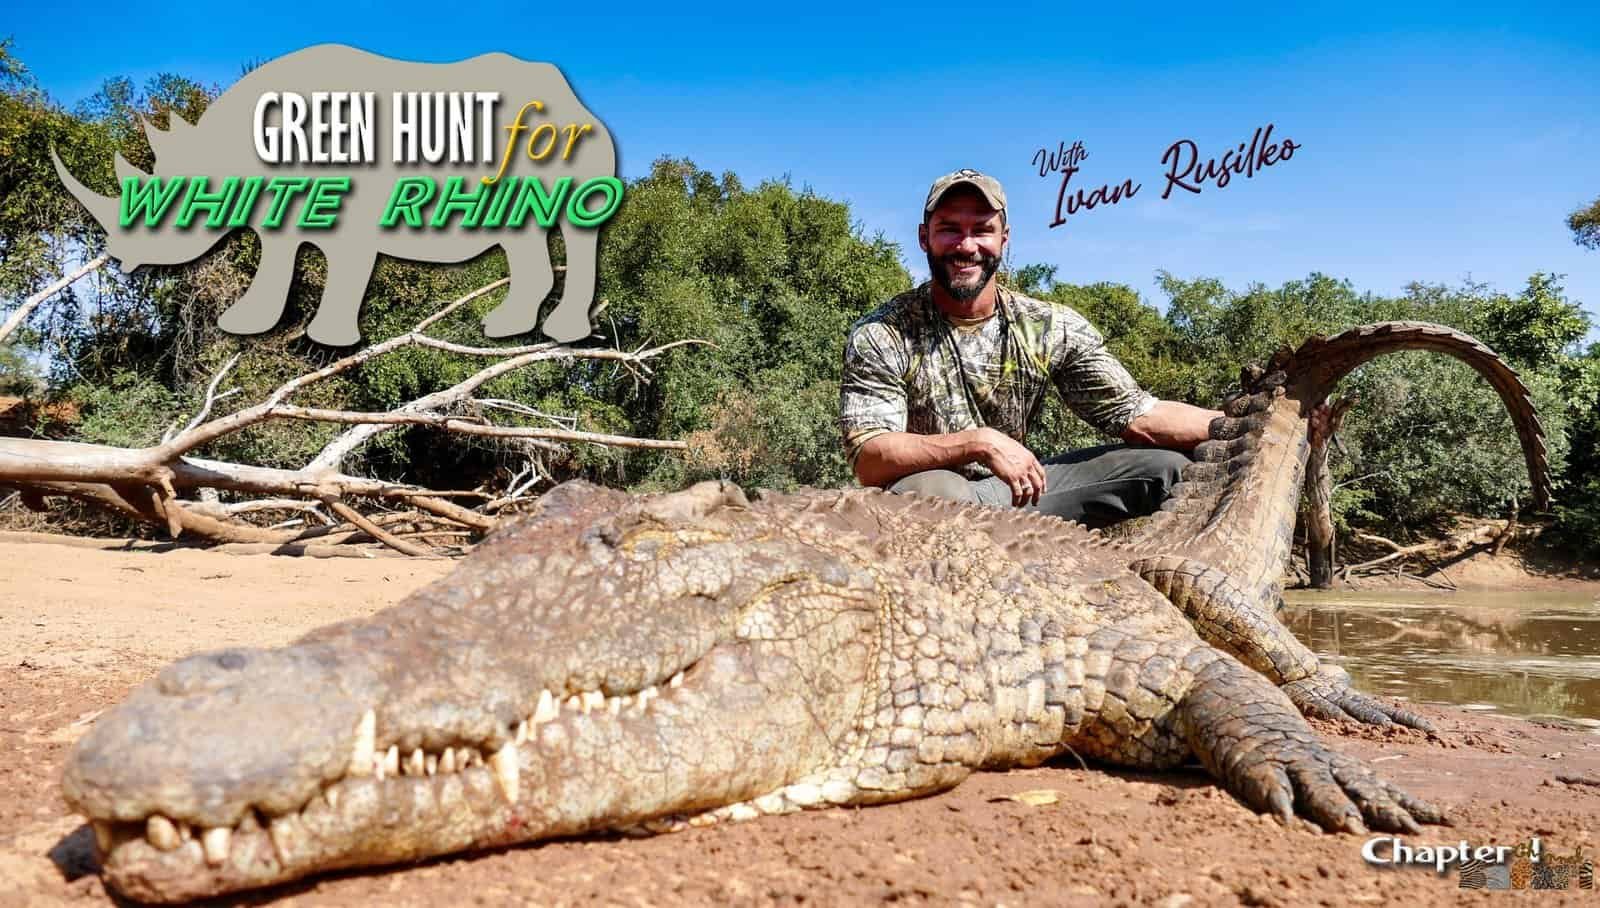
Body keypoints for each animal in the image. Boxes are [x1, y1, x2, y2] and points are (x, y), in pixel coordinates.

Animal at [51, 44, 617, 346]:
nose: (119, 254)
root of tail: (571, 96)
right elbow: (274, 268)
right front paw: (244, 323)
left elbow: (344, 272)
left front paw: (328, 340)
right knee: (520, 233)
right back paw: (502, 329)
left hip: (570, 140)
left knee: (578, 225)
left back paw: (557, 332)